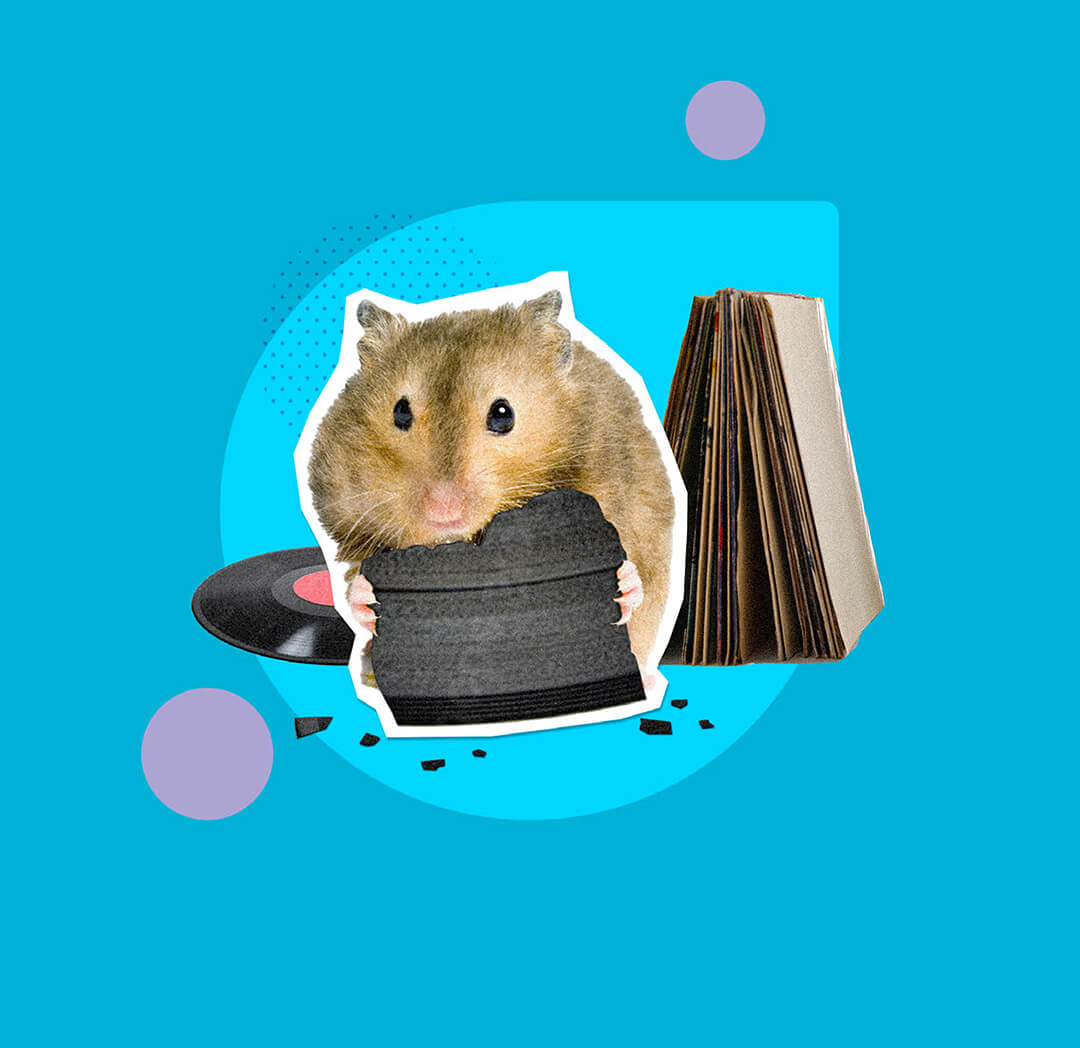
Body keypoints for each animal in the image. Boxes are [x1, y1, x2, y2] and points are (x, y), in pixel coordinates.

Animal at [308, 290, 675, 672]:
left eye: (503, 414)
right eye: (400, 412)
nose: (442, 509)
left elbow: (639, 578)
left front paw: (623, 587)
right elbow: (353, 587)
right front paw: (367, 599)